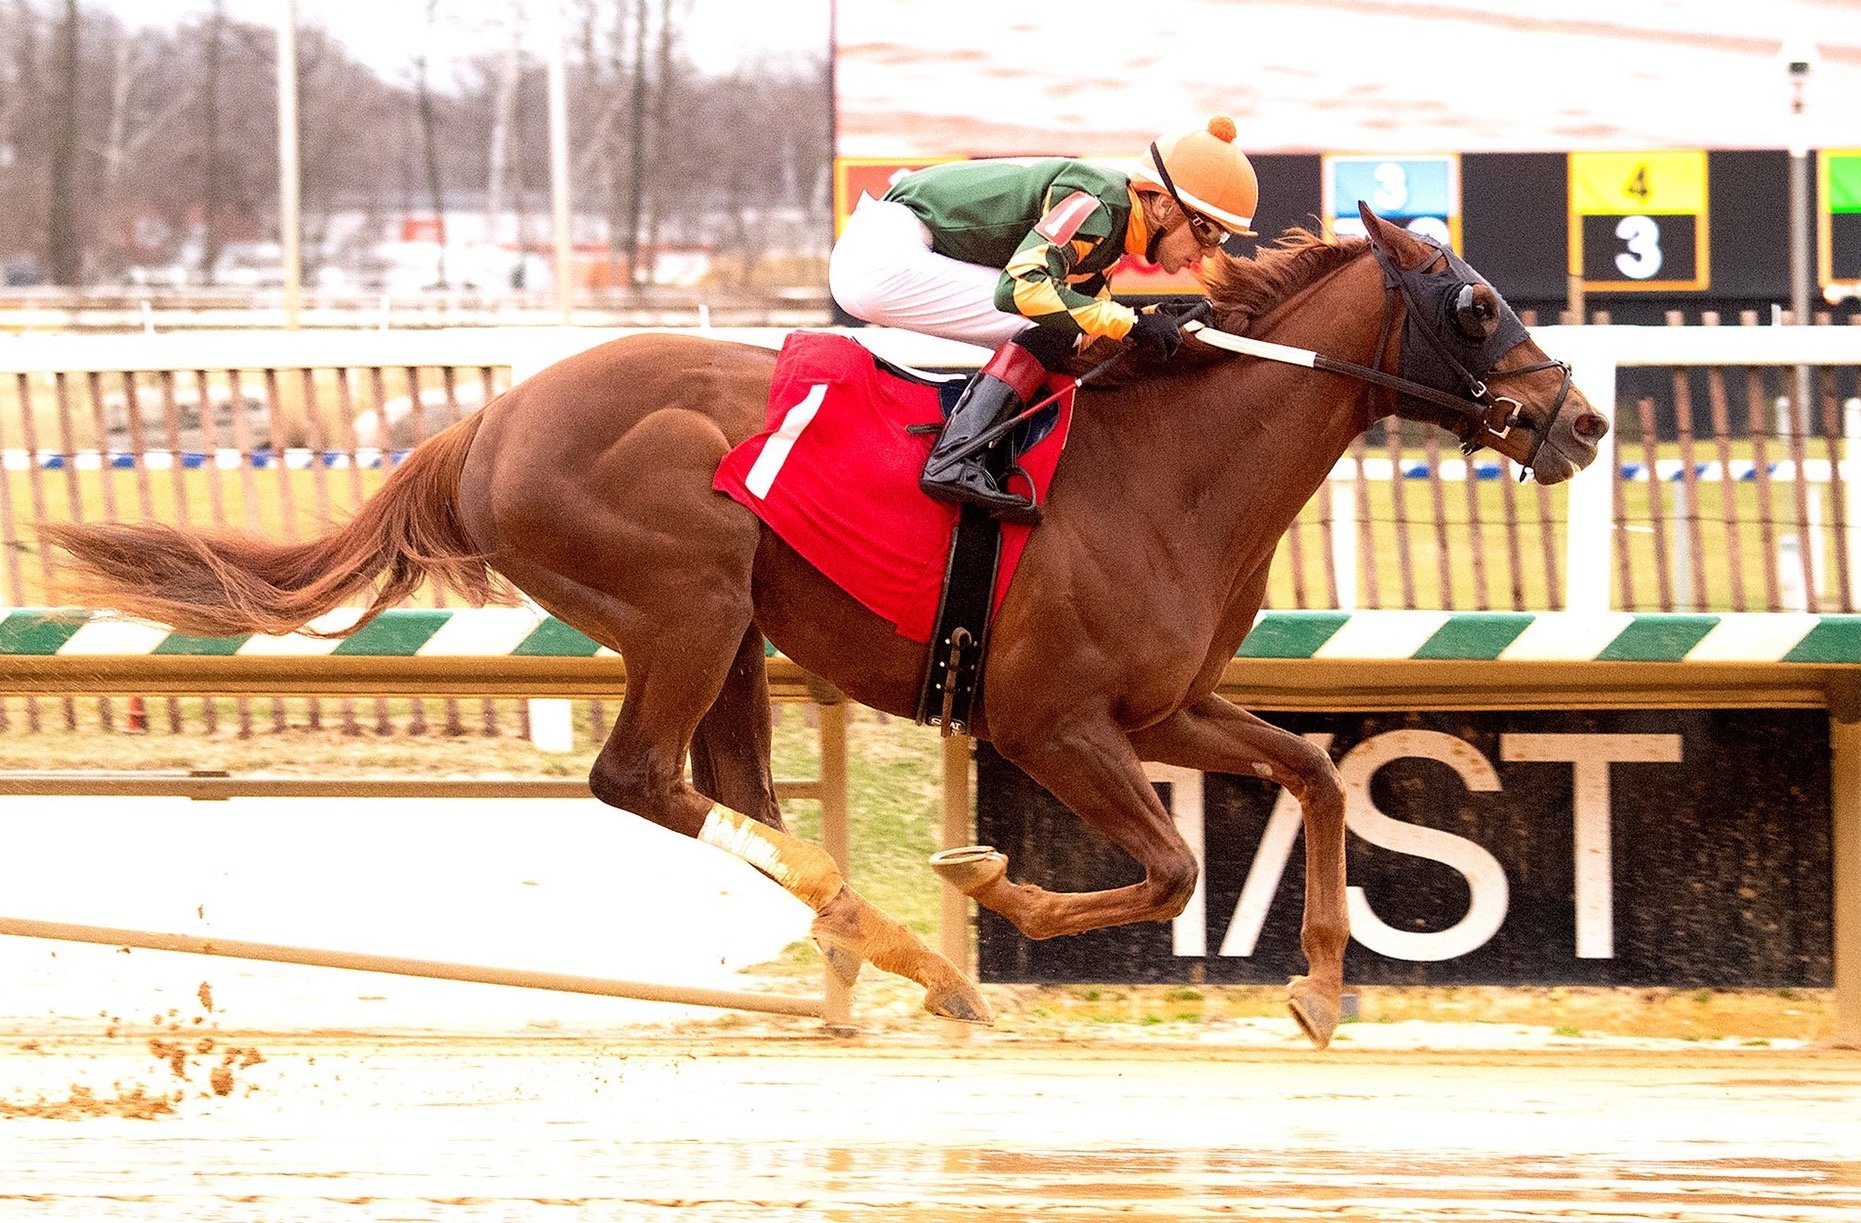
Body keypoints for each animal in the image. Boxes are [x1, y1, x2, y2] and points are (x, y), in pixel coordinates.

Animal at [47, 204, 1615, 1042]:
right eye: (1479, 305)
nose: (1582, 421)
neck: (1165, 462)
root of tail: (491, 416)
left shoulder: (1166, 707)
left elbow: (1312, 774)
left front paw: (1323, 985)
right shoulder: (1049, 720)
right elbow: (1168, 865)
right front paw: (996, 891)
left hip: (733, 630)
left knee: (724, 784)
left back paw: (887, 947)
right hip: (686, 595)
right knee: (639, 778)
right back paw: (921, 954)